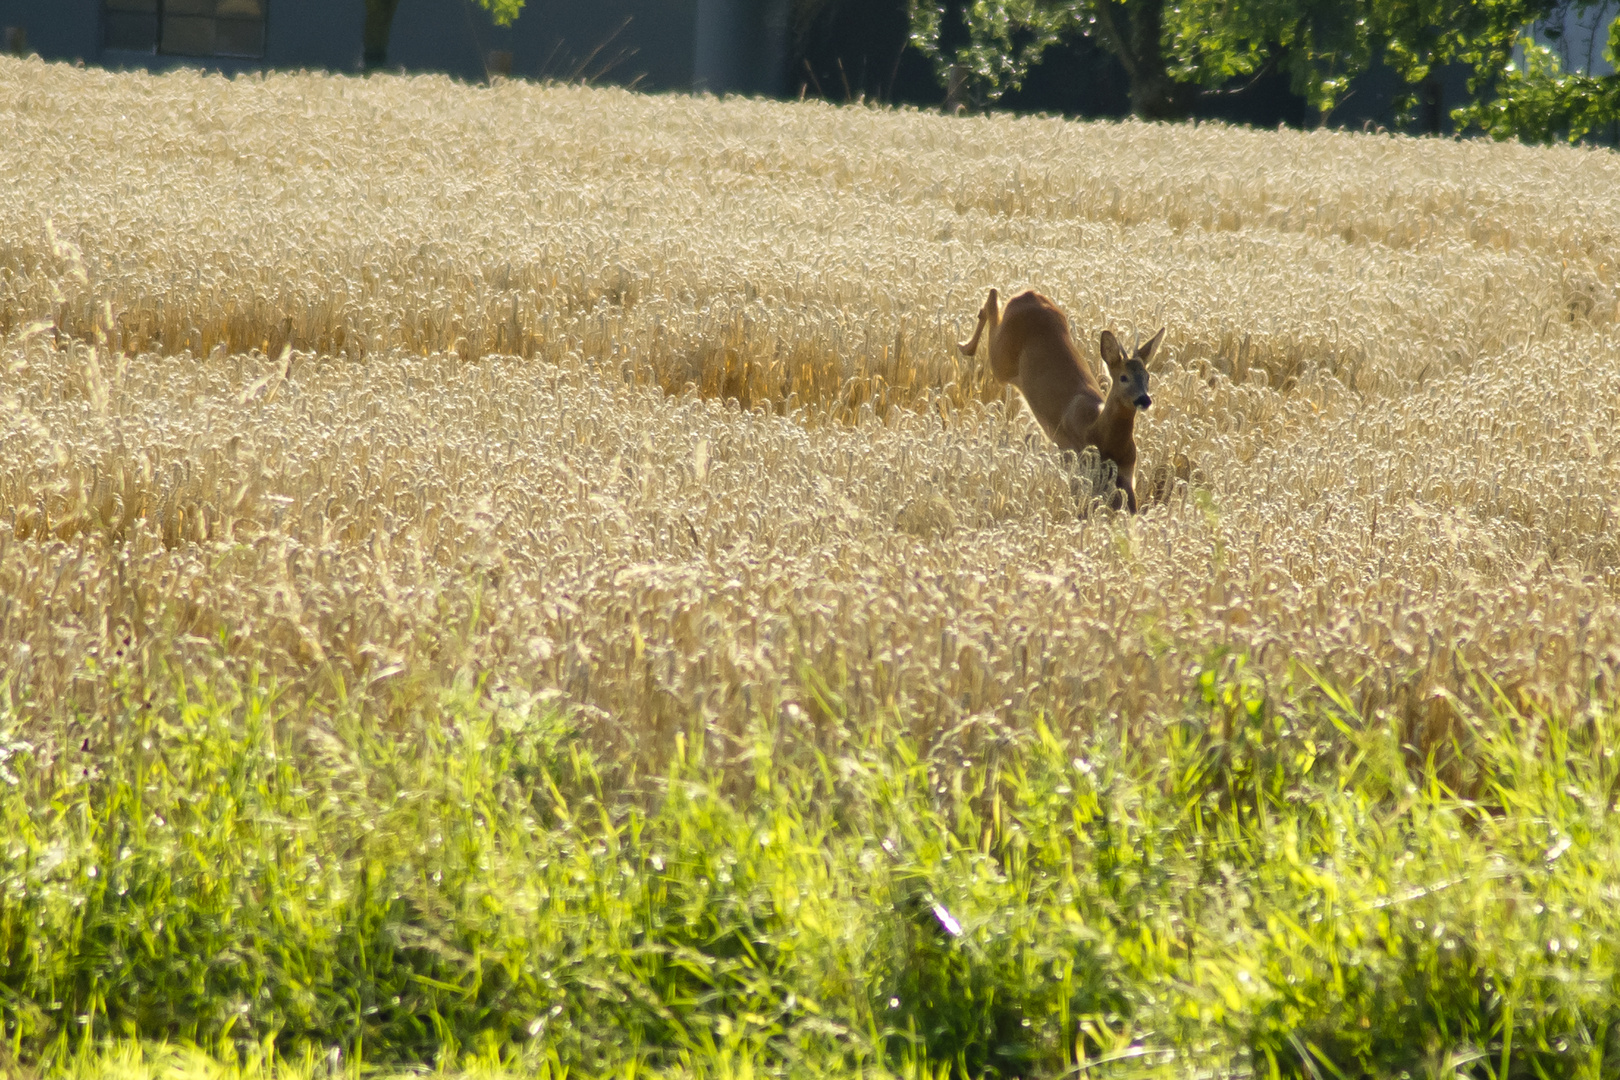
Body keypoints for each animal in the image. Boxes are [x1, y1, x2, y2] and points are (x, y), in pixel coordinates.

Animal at [952, 289, 1159, 514]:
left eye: (1147, 377)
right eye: (1123, 377)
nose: (1144, 399)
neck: (1100, 432)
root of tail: (1027, 294)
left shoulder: (1127, 473)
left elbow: (1133, 510)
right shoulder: (1076, 459)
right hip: (1002, 359)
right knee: (992, 302)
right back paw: (964, 345)